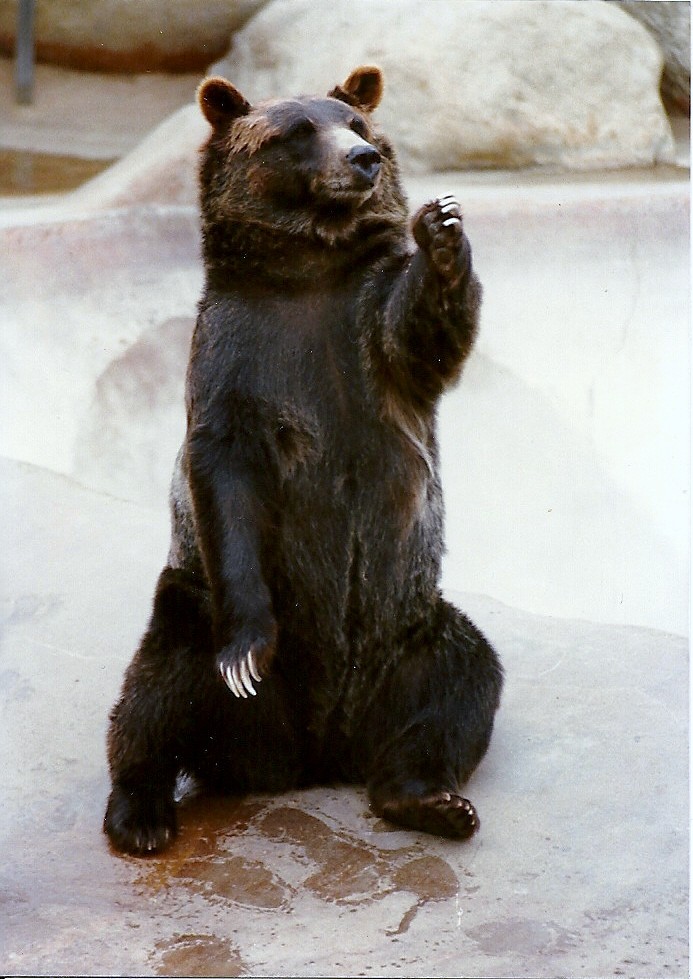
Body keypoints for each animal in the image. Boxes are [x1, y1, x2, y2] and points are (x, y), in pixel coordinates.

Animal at [104, 65, 503, 856]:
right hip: (196, 611)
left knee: (459, 687)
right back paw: (140, 811)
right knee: (156, 685)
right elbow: (226, 473)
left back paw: (429, 799)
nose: (363, 160)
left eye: (356, 122)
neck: (312, 271)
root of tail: (317, 753)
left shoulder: (369, 338)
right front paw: (246, 655)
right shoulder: (238, 351)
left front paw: (442, 230)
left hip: (412, 628)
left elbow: (425, 334)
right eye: (296, 132)